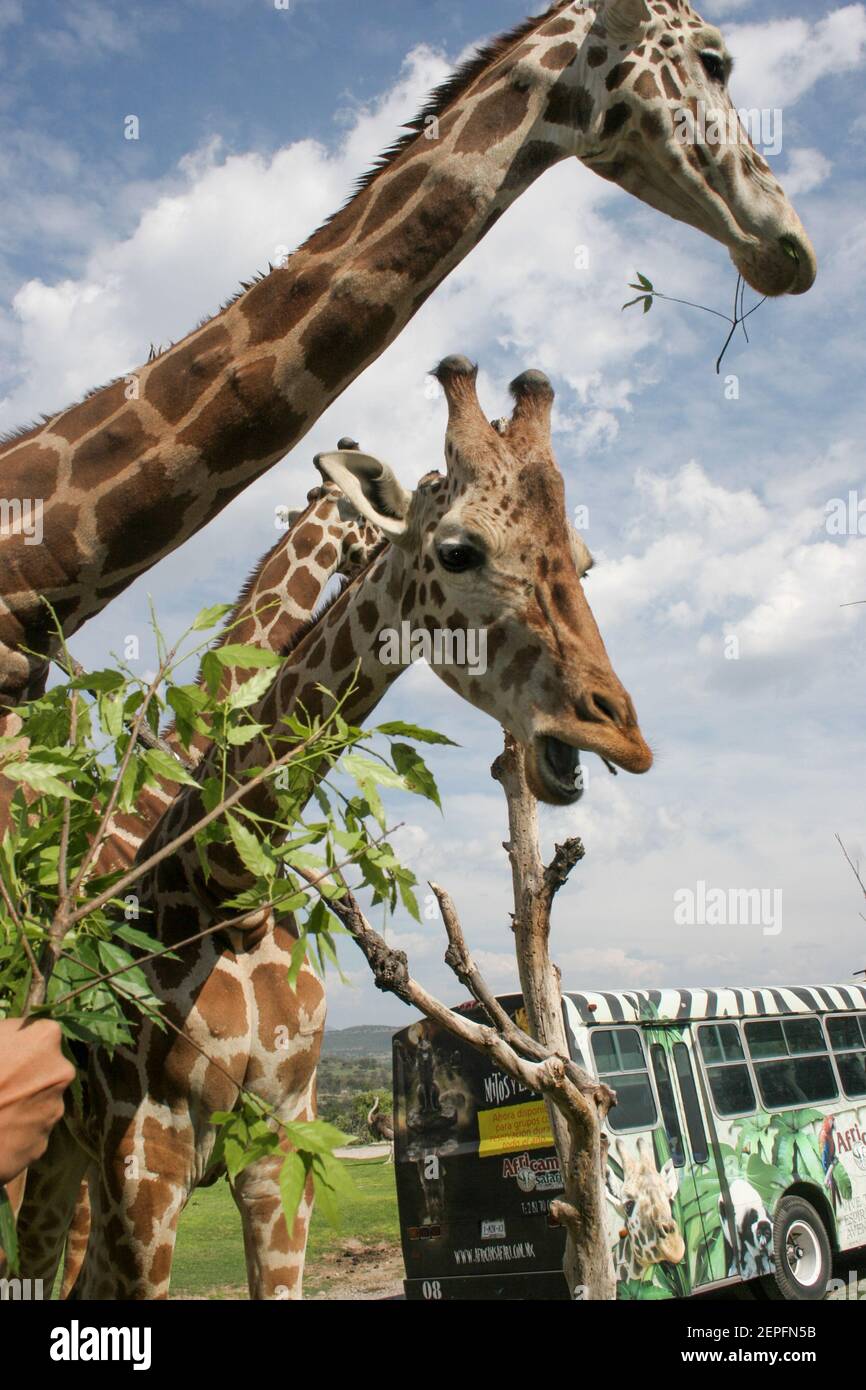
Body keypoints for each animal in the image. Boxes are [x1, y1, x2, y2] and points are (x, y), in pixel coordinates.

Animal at [30, 355, 654, 1299]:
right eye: (458, 550)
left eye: (582, 561)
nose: (618, 732)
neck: (224, 885)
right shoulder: (145, 1155)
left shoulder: (282, 1147)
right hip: (56, 1161)